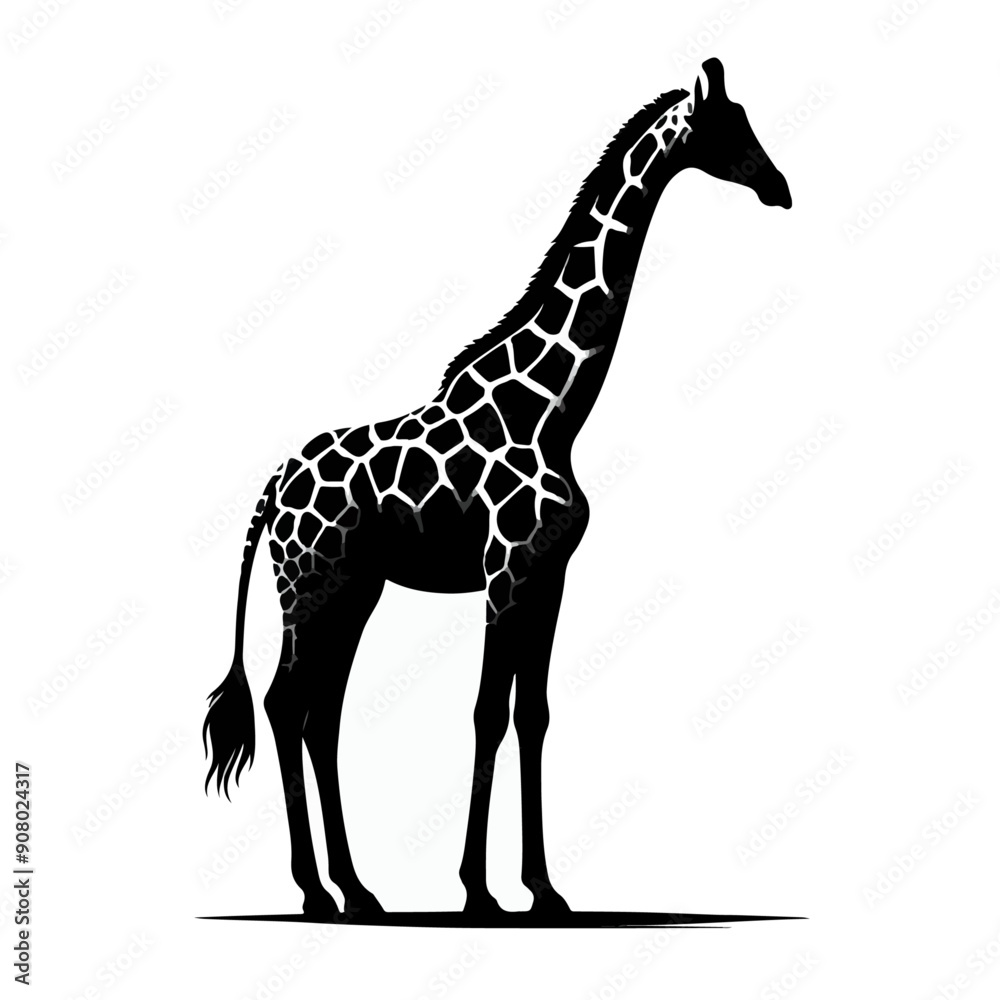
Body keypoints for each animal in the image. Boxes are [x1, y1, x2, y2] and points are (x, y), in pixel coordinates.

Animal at [203, 58, 791, 922]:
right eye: (729, 127)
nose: (780, 188)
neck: (552, 410)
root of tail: (271, 492)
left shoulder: (549, 574)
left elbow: (531, 714)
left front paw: (544, 889)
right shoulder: (506, 572)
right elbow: (486, 713)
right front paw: (479, 890)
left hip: (353, 588)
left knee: (321, 715)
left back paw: (357, 888)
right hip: (308, 585)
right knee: (286, 705)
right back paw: (314, 890)